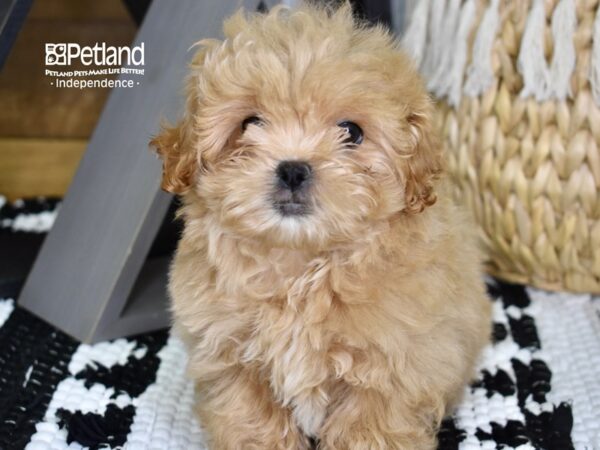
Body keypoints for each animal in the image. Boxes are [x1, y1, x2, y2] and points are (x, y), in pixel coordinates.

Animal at [151, 4, 492, 450]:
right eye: (249, 124)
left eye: (352, 132)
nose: (293, 169)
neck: (300, 266)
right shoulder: (229, 353)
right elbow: (252, 419)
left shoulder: (393, 366)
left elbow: (371, 428)